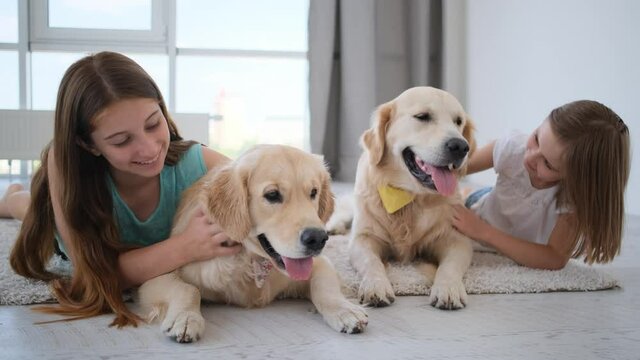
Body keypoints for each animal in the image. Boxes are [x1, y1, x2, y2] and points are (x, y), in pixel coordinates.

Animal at [139, 145, 370, 342]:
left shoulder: (320, 263)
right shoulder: (156, 276)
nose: (318, 238)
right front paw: (186, 318)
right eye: (272, 195)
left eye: (313, 192)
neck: (251, 261)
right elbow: (188, 289)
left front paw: (345, 310)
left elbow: (324, 286)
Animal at [344, 87, 476, 310]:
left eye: (458, 121)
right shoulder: (363, 238)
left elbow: (449, 266)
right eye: (422, 117)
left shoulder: (455, 239)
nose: (460, 146)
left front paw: (448, 289)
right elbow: (372, 262)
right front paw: (375, 286)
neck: (409, 197)